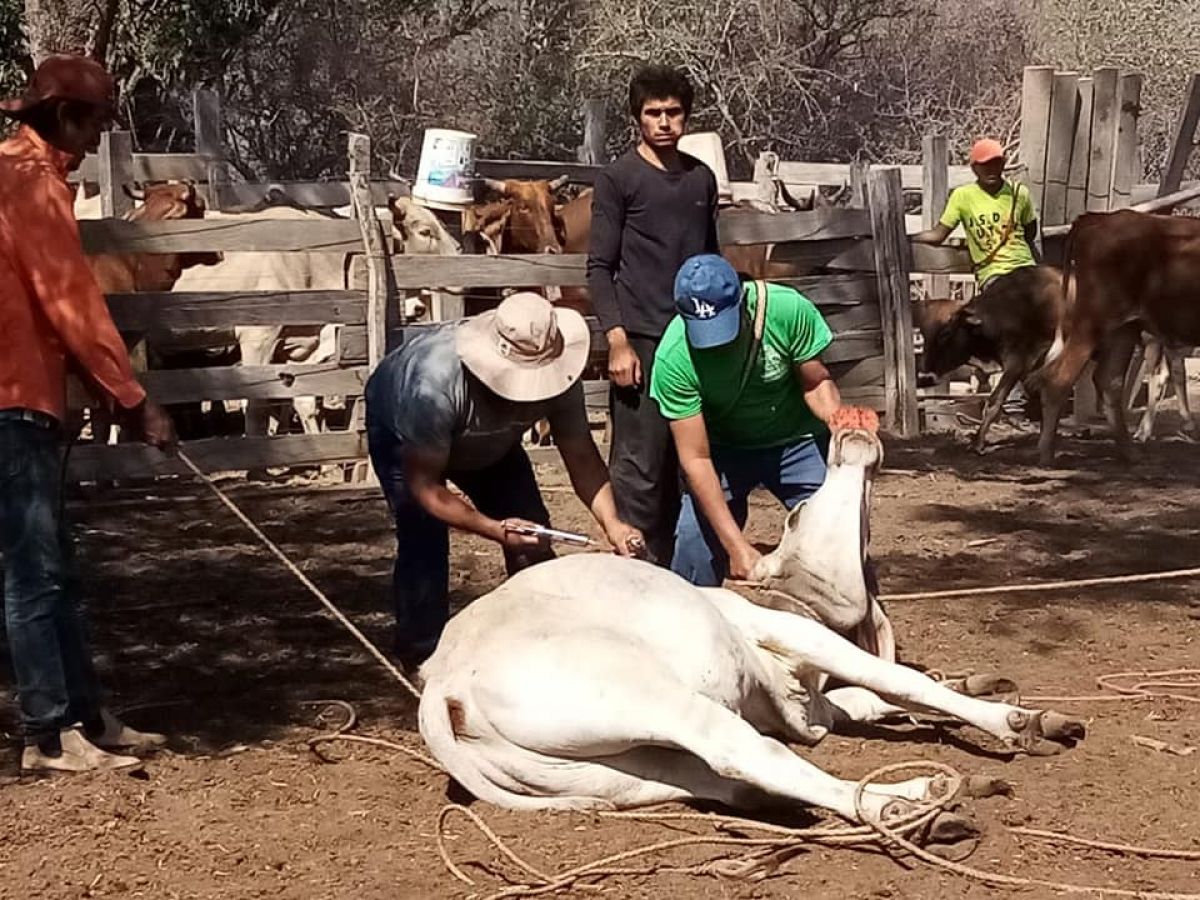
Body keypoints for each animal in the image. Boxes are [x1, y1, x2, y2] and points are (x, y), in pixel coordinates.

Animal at [417, 408, 1084, 825]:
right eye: (797, 513)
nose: (851, 437)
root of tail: (443, 684)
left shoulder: (816, 703)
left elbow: (873, 699)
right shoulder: (793, 632)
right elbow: (900, 682)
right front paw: (1011, 720)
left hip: (611, 774)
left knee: (724, 783)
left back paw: (917, 799)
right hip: (656, 699)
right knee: (746, 756)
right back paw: (912, 801)